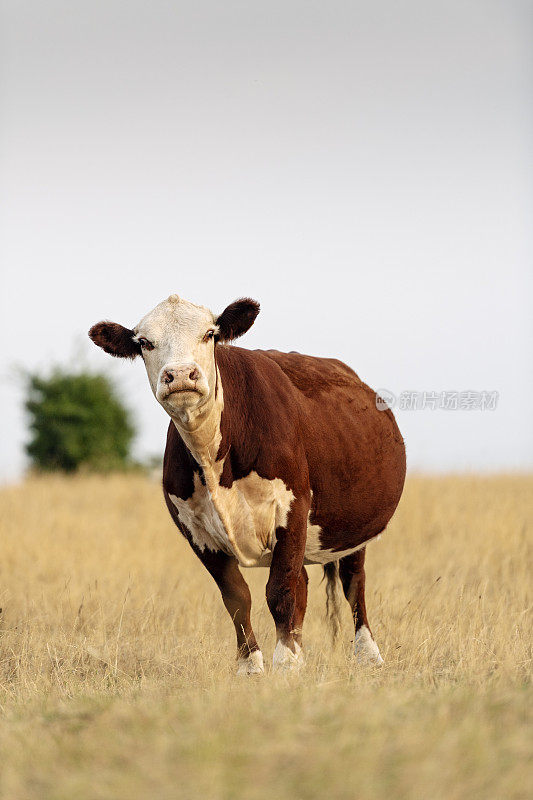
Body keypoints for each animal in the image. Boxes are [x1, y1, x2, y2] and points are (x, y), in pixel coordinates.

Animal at [89, 296, 406, 672]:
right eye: (144, 343)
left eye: (209, 334)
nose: (179, 374)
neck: (215, 462)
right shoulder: (196, 531)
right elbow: (237, 597)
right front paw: (252, 666)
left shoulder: (292, 509)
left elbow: (280, 591)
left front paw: (286, 662)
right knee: (305, 583)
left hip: (354, 528)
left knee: (353, 583)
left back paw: (367, 655)